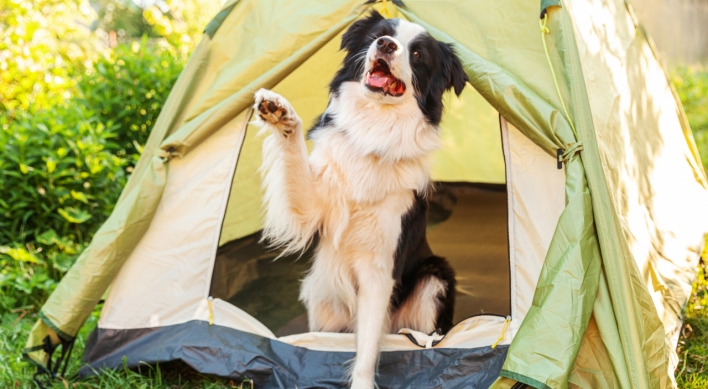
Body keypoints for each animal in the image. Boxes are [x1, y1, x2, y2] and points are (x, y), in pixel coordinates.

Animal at [252, 10, 468, 386]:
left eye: (417, 54)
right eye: (378, 35)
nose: (385, 45)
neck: (376, 125)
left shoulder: (379, 268)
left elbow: (367, 346)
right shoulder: (311, 207)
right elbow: (295, 160)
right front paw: (280, 112)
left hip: (434, 278)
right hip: (322, 297)